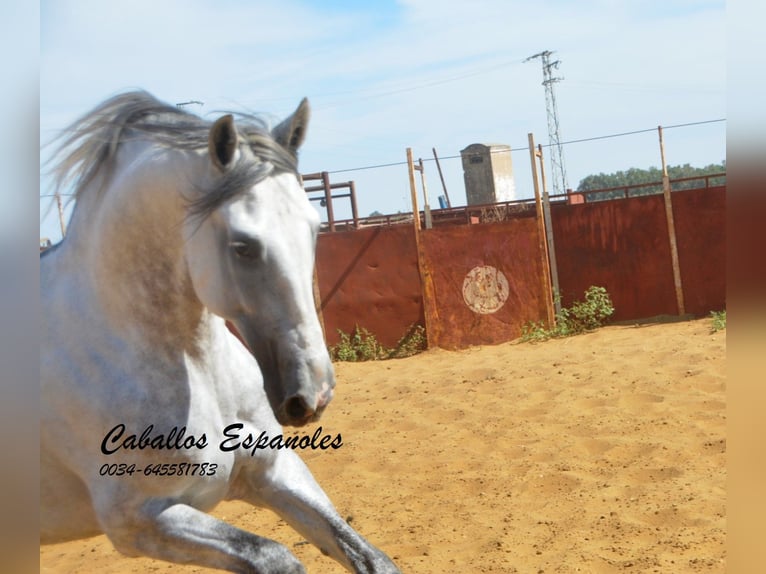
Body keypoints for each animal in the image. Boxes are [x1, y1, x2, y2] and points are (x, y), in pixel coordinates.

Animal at [41, 92, 402, 572]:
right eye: (242, 246)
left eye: (314, 227)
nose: (315, 395)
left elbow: (369, 556)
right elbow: (276, 556)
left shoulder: (274, 470)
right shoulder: (140, 521)